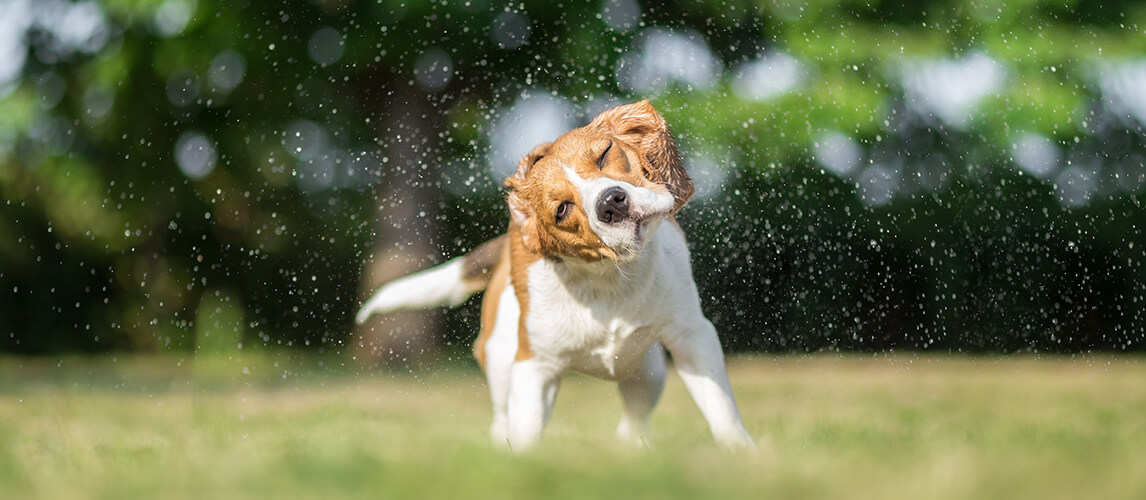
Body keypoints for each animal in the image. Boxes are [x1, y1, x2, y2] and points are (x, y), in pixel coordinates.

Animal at [355, 99, 751, 451]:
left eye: (605, 154)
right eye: (562, 209)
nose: (611, 202)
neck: (608, 279)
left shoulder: (692, 335)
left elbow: (722, 411)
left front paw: (740, 455)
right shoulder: (534, 368)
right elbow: (526, 434)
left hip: (647, 370)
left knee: (634, 419)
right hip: (502, 361)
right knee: (502, 422)